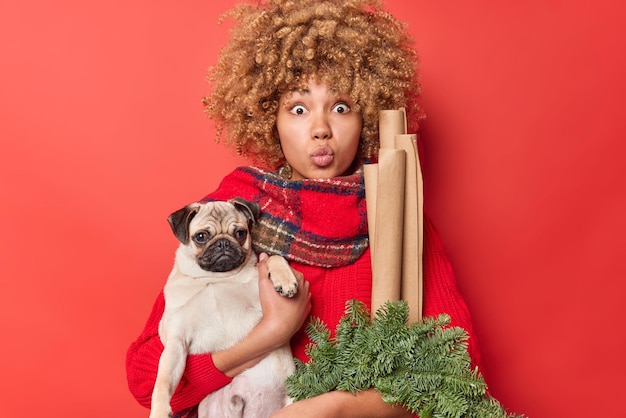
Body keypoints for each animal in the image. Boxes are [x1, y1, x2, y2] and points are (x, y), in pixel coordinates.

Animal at [150, 197, 298, 418]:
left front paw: (285, 280)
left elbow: (273, 257)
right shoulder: (176, 342)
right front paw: (159, 410)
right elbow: (162, 382)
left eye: (240, 233)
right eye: (201, 237)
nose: (223, 243)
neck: (215, 278)